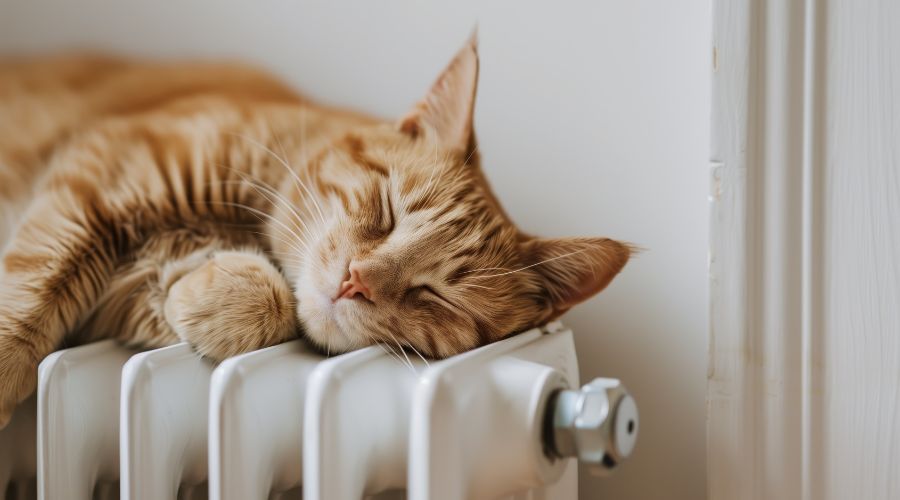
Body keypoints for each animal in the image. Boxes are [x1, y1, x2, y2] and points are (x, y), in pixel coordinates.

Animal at [0, 33, 632, 428]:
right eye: (386, 210)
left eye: (436, 295)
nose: (357, 281)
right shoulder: (102, 173)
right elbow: (30, 292)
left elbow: (259, 300)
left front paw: (204, 298)